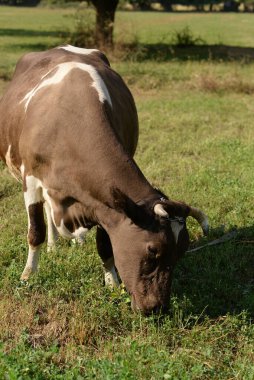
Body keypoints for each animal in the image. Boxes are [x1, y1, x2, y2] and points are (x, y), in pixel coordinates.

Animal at [0, 44, 208, 314]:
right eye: (152, 250)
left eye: (180, 252)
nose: (157, 308)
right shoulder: (31, 179)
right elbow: (36, 230)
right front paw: (28, 276)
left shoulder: (106, 206)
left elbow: (105, 243)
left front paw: (112, 282)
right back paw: (53, 246)